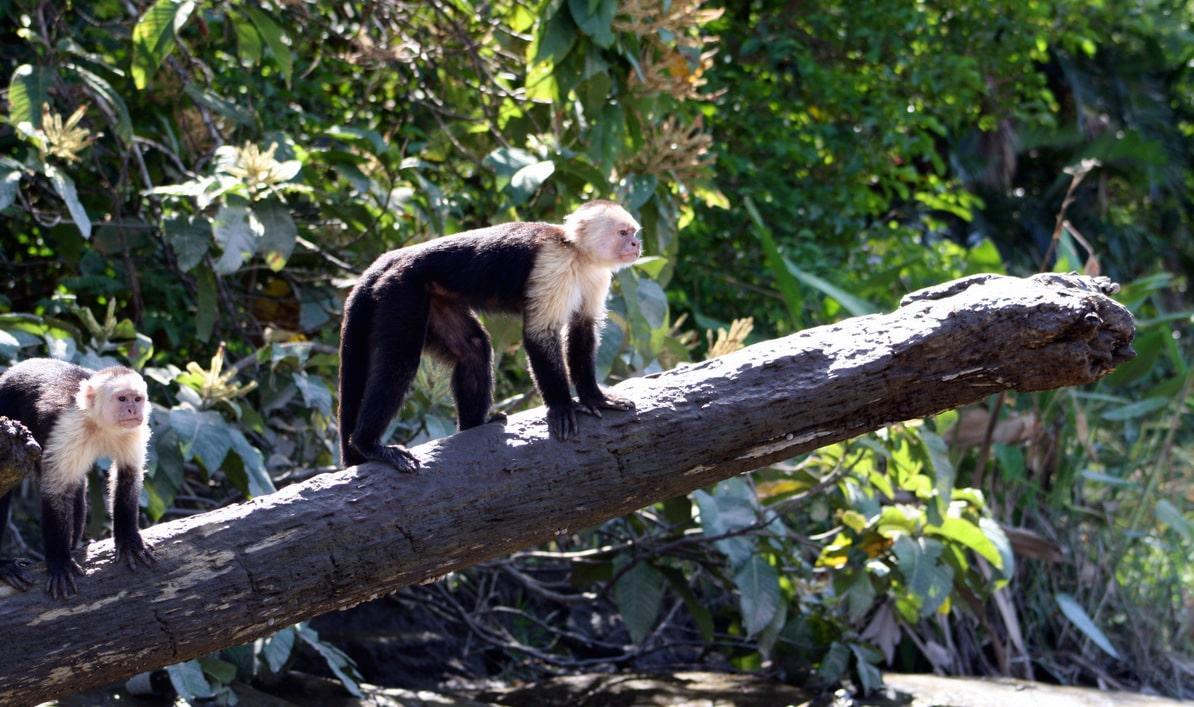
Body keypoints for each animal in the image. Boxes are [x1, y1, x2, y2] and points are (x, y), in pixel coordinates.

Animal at [0, 358, 155, 597]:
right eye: (122, 398)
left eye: (137, 399)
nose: (132, 409)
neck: (98, 423)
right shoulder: (68, 427)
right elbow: (57, 491)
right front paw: (59, 561)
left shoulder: (134, 430)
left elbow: (128, 475)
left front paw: (128, 538)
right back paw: (4, 566)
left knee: (78, 490)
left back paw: (75, 545)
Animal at [339, 198, 644, 470]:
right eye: (623, 233)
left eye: (634, 232)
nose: (636, 244)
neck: (578, 253)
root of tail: (394, 257)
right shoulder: (554, 263)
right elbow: (540, 334)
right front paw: (561, 405)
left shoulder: (597, 275)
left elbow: (583, 329)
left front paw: (595, 397)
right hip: (401, 289)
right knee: (399, 363)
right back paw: (369, 445)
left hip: (435, 298)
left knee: (474, 348)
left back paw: (474, 424)